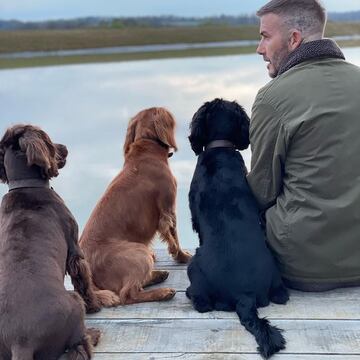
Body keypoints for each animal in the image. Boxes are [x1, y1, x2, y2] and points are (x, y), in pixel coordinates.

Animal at [0, 124, 101, 360]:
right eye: (48, 139)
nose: (65, 148)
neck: (25, 186)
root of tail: (20, 342)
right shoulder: (74, 248)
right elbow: (83, 279)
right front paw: (95, 305)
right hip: (74, 301)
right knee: (78, 346)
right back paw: (93, 334)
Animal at [79, 107, 191, 304]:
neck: (146, 147)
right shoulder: (168, 208)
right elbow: (174, 237)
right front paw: (183, 257)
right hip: (138, 252)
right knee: (128, 294)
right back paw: (163, 292)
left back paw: (158, 274)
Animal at [187, 97, 288, 358]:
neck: (220, 149)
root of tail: (245, 296)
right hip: (275, 277)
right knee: (281, 295)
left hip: (195, 264)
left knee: (202, 303)